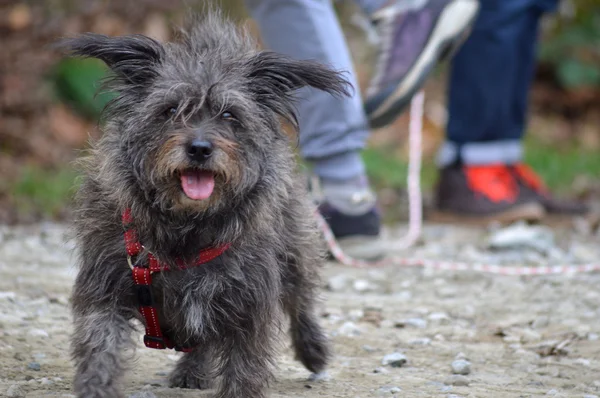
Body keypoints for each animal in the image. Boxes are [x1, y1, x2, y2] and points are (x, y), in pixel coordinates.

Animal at [62, 11, 350, 398]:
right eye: (170, 110)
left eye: (229, 115)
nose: (199, 148)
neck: (187, 229)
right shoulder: (106, 287)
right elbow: (100, 347)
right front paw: (97, 388)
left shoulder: (247, 302)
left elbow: (244, 365)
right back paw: (192, 371)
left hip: (294, 251)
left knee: (300, 302)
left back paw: (313, 350)